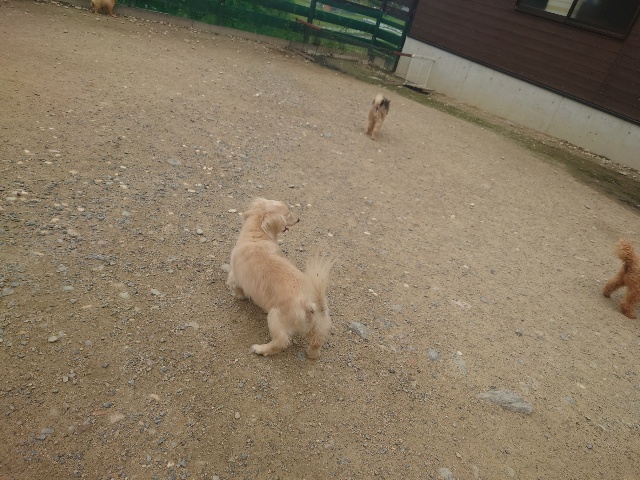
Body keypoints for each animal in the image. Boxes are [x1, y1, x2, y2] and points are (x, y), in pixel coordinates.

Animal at [226, 198, 335, 359]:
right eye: (288, 213)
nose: (298, 219)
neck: (256, 237)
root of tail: (312, 303)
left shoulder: (235, 276)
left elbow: (236, 287)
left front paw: (239, 296)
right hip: (318, 326)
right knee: (316, 341)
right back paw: (312, 353)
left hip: (274, 317)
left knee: (281, 342)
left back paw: (261, 349)